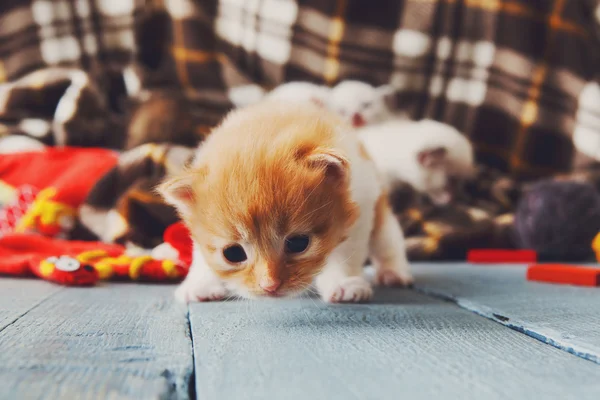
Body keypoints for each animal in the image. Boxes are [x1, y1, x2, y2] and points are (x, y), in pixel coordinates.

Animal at [157, 101, 412, 304]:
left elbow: (347, 251)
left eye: (298, 243)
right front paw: (198, 285)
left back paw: (394, 273)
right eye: (233, 253)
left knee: (387, 242)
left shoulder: (360, 206)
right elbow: (201, 254)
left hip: (379, 209)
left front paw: (344, 284)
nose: (269, 286)